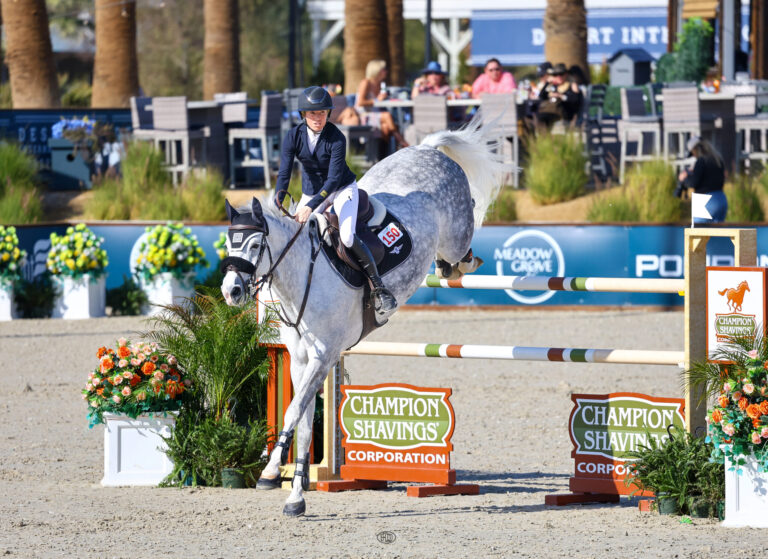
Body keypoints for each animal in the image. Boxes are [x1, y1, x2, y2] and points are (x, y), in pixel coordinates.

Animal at [220, 118, 504, 516]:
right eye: (227, 243)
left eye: (256, 245)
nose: (230, 292)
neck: (302, 274)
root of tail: (427, 149)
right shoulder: (302, 359)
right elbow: (303, 421)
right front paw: (296, 495)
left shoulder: (324, 356)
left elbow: (292, 413)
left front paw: (270, 473)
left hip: (454, 233)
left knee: (463, 240)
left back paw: (461, 263)